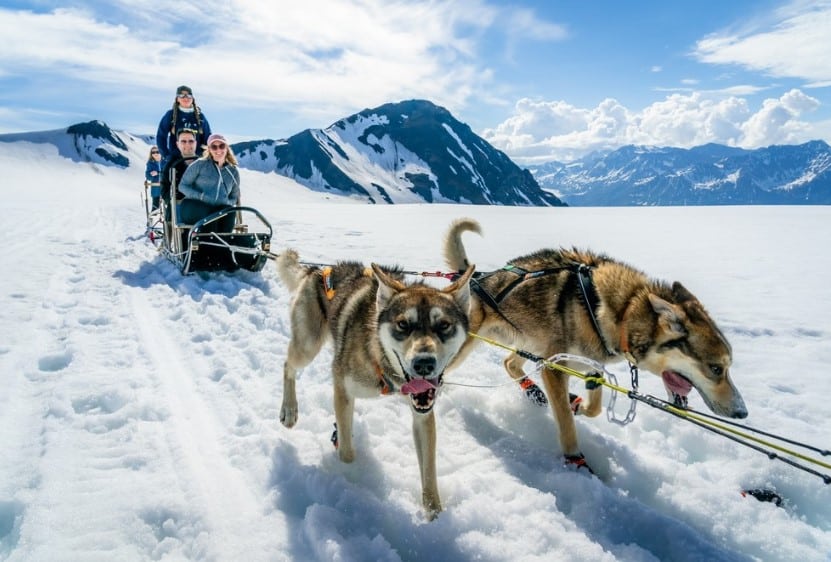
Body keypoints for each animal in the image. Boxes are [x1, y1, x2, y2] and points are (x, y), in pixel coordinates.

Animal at [278, 247, 474, 520]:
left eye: (444, 325)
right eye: (403, 324)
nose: (424, 363)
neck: (380, 359)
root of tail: (317, 270)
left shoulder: (423, 414)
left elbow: (429, 473)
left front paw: (436, 519)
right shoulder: (342, 385)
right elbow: (347, 453)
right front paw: (355, 481)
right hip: (307, 346)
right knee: (288, 365)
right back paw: (289, 410)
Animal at [442, 218, 748, 468]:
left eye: (728, 367)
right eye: (716, 368)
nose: (743, 412)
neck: (623, 312)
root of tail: (471, 280)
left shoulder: (590, 365)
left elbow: (595, 405)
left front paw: (577, 403)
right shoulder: (555, 368)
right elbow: (566, 424)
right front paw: (576, 461)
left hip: (530, 343)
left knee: (509, 362)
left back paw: (536, 392)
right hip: (467, 349)